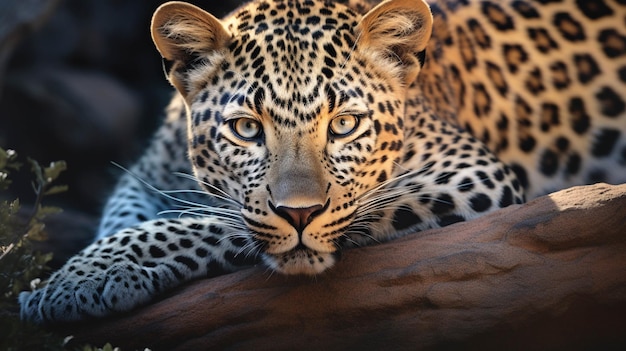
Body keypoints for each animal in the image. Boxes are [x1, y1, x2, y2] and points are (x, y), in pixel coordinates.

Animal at [19, 0, 624, 324]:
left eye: (344, 125)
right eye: (246, 129)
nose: (300, 214)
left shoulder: (471, 173)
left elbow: (210, 222)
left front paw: (75, 280)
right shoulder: (146, 175)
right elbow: (131, 218)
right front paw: (86, 277)